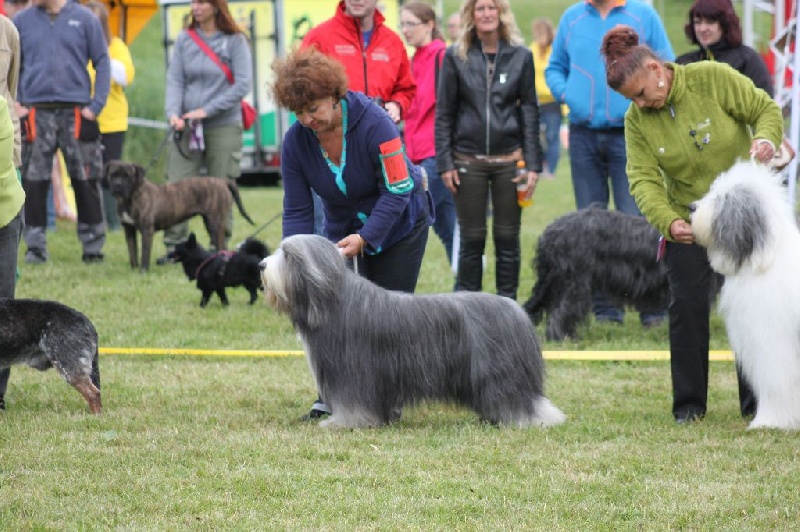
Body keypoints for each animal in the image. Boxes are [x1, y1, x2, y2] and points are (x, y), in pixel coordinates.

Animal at [103, 161, 253, 270]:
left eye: (127, 176)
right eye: (113, 174)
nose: (117, 185)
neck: (130, 198)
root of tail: (222, 181)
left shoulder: (147, 231)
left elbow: (145, 253)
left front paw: (143, 271)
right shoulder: (129, 230)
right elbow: (132, 251)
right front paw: (134, 269)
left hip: (215, 223)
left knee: (222, 245)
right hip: (210, 223)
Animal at [260, 235, 564, 430]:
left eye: (287, 255)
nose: (261, 265)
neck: (334, 301)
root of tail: (517, 311)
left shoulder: (353, 374)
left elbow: (353, 405)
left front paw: (344, 423)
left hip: (500, 374)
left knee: (519, 400)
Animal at [692, 160, 800, 430]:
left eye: (722, 199)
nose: (691, 208)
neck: (766, 259)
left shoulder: (770, 341)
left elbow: (775, 382)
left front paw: (768, 422)